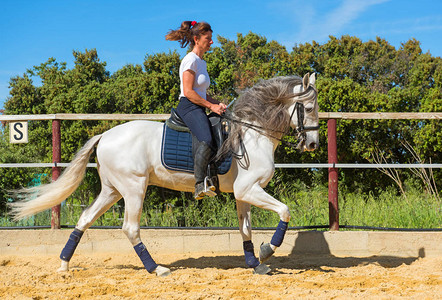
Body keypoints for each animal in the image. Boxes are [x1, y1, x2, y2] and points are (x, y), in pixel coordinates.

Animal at [10, 73, 320, 276]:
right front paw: (268, 249)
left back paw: (64, 265)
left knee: (85, 219)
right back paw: (155, 268)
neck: (252, 134)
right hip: (134, 188)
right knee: (130, 228)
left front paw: (256, 263)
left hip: (112, 190)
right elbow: (285, 211)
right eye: (308, 108)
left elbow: (245, 229)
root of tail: (105, 136)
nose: (313, 145)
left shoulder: (242, 193)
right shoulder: (249, 189)